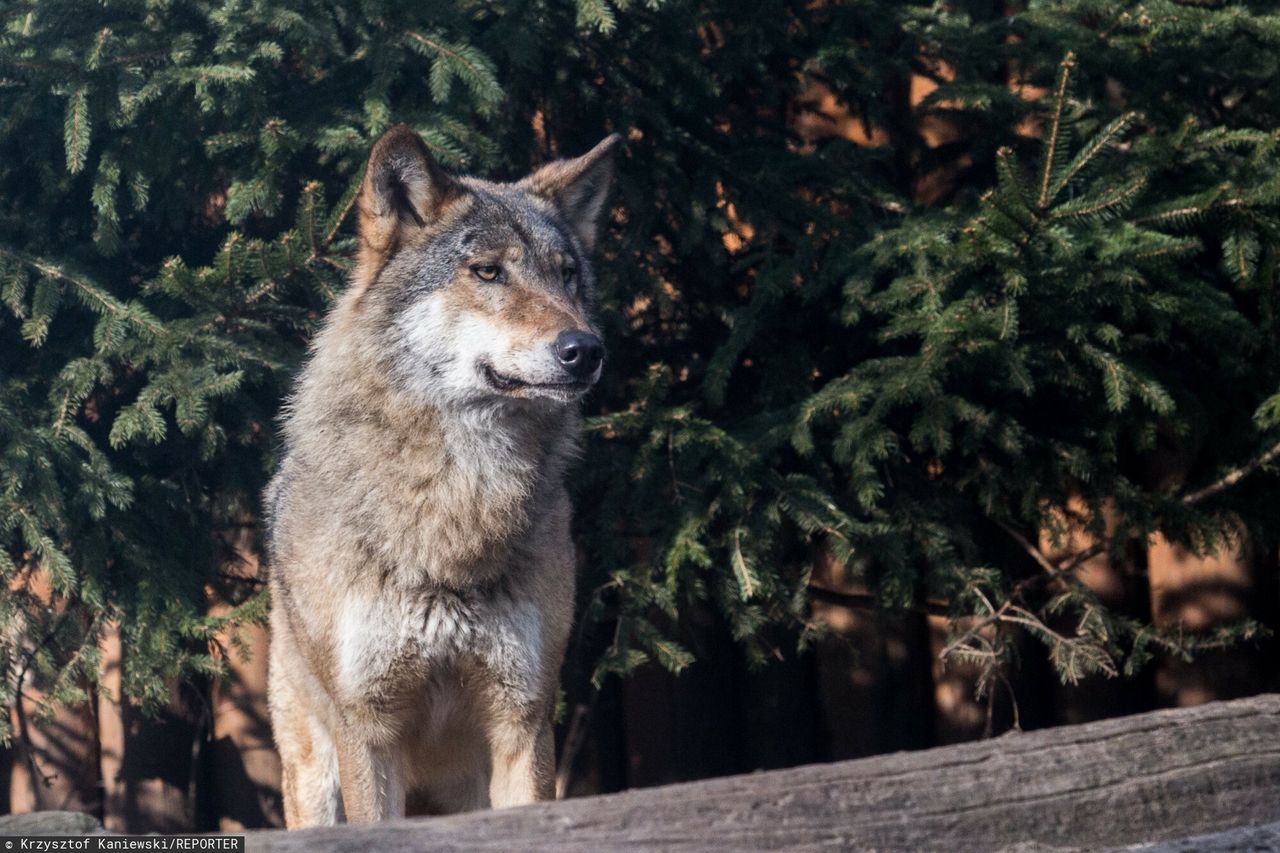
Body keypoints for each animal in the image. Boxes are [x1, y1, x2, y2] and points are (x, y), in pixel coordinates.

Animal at [264, 124, 619, 824]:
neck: (458, 500)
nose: (586, 350)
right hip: (313, 766)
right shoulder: (368, 728)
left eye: (567, 276)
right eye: (488, 271)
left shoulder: (523, 720)